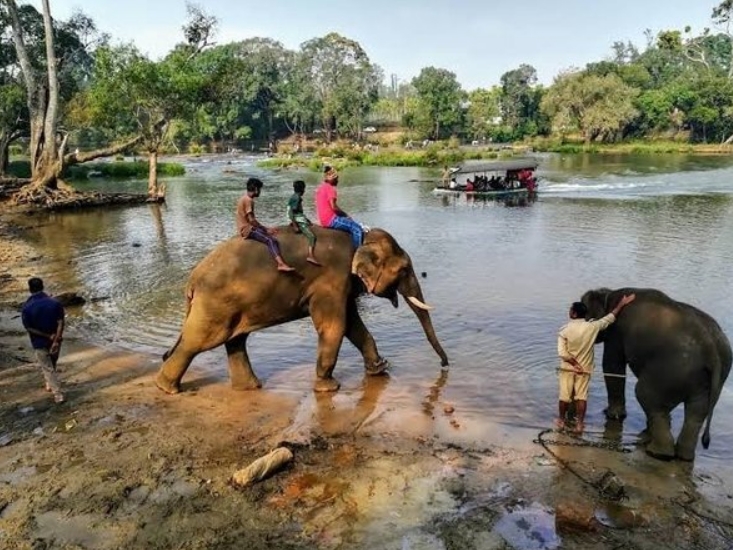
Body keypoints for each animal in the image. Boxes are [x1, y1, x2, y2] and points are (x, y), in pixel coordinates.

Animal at [157, 229, 448, 396]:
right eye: (404, 270)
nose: (445, 366)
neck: (361, 238)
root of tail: (192, 280)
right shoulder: (331, 279)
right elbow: (335, 325)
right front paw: (328, 387)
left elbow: (353, 325)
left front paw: (380, 369)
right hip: (214, 306)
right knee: (197, 342)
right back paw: (167, 388)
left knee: (235, 341)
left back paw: (250, 387)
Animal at [580, 286, 728, 464]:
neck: (609, 293)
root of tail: (710, 348)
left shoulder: (616, 333)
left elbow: (612, 365)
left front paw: (612, 415)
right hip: (708, 381)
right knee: (695, 414)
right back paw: (683, 456)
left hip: (672, 369)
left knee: (645, 395)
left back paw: (657, 453)